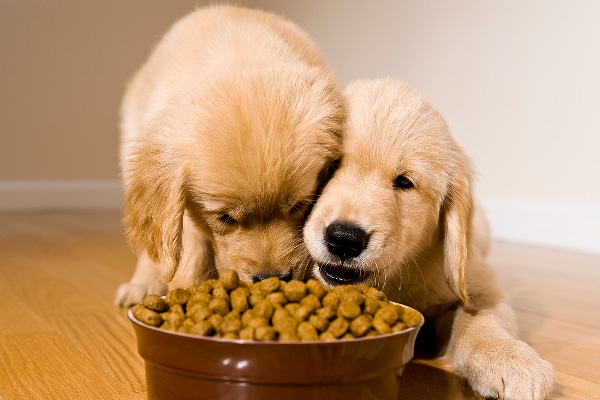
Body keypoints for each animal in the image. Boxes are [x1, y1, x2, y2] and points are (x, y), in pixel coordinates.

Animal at [115, 4, 344, 306]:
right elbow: (189, 247)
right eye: (225, 218)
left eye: (299, 206)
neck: (242, 56)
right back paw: (142, 284)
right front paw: (188, 287)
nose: (270, 278)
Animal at [302, 79, 556, 400]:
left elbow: (480, 316)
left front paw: (508, 358)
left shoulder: (475, 282)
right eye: (331, 166)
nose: (344, 239)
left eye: (404, 182)